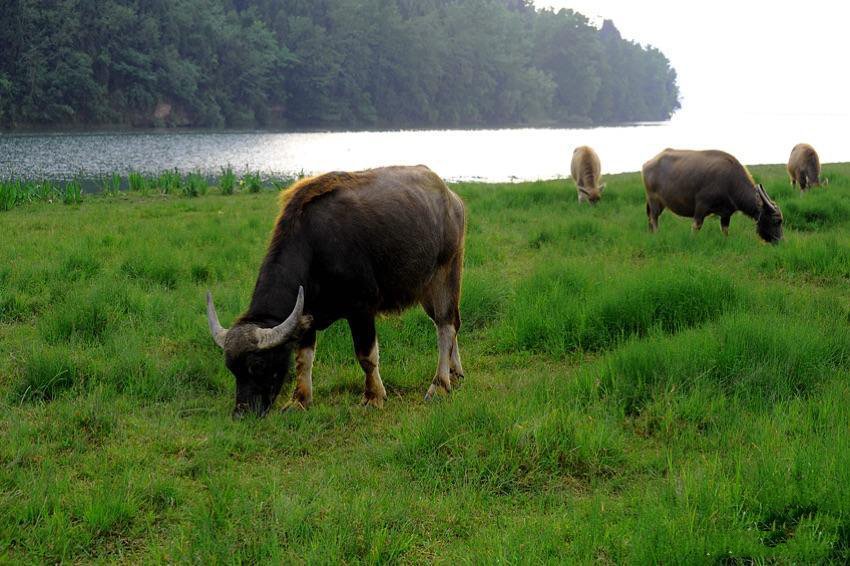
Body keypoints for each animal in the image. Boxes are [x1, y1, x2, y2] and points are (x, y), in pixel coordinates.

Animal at [208, 164, 468, 418]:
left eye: (258, 365)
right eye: (231, 368)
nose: (242, 414)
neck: (314, 248)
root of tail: (451, 198)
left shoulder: (362, 308)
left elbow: (366, 356)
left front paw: (373, 397)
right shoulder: (306, 316)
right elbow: (304, 359)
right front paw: (300, 399)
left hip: (446, 273)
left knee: (445, 326)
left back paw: (440, 384)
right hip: (425, 287)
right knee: (451, 323)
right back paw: (455, 372)